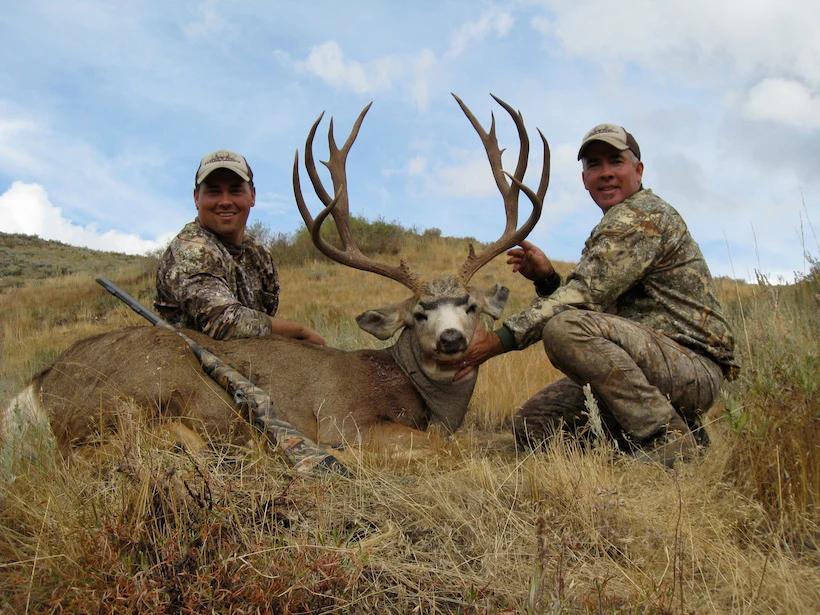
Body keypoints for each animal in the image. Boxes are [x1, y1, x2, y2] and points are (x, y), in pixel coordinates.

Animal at [3, 95, 552, 466]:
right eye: (418, 313)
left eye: (470, 305)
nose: (452, 339)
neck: (415, 391)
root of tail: (39, 384)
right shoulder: (347, 419)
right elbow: (444, 447)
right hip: (132, 403)